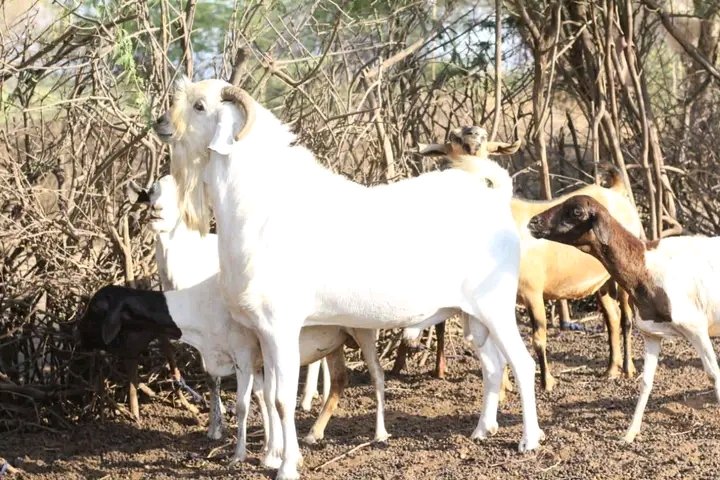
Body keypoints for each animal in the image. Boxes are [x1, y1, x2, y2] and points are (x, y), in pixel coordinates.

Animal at [78, 277, 387, 466]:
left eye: (95, 309)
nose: (78, 338)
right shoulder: (257, 360)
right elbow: (265, 401)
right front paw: (270, 452)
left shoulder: (244, 356)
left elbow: (243, 406)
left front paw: (240, 455)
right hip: (336, 341)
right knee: (339, 380)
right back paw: (314, 433)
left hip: (364, 332)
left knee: (377, 377)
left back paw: (380, 434)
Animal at [156, 77, 543, 479]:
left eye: (200, 106)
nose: (160, 124)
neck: (260, 206)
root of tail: (496, 200)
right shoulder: (262, 333)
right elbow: (269, 395)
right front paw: (273, 456)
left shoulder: (281, 327)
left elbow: (282, 399)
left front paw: (287, 466)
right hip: (472, 316)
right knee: (493, 366)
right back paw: (482, 430)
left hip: (496, 306)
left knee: (522, 364)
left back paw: (528, 440)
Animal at [414, 126, 642, 390]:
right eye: (453, 140)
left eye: (484, 140)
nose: (472, 135)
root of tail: (615, 191)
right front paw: (504, 386)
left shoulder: (533, 291)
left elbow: (538, 338)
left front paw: (547, 382)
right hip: (600, 280)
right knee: (611, 317)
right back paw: (610, 369)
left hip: (622, 272)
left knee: (626, 318)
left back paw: (627, 368)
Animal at [526, 194, 720, 443]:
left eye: (576, 212)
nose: (533, 222)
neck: (644, 265)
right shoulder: (652, 334)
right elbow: (646, 381)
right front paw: (629, 433)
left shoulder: (696, 327)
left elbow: (713, 373)